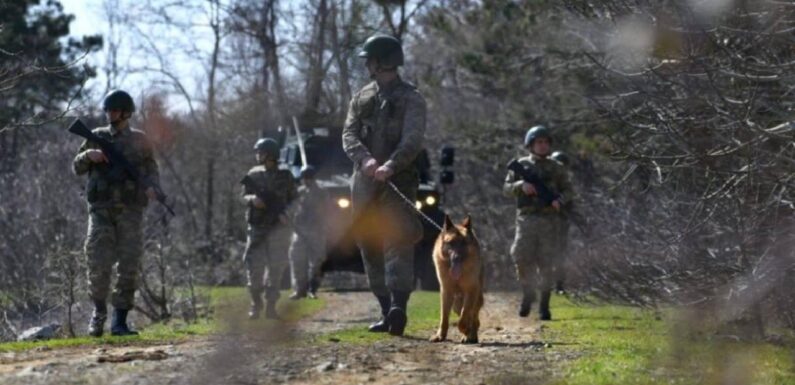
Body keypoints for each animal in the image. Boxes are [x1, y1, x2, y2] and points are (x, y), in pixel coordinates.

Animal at [430, 214, 486, 344]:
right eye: (451, 243)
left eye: (464, 243)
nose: (456, 257)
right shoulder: (446, 292)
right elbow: (444, 317)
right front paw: (440, 336)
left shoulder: (471, 290)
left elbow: (464, 316)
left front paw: (465, 329)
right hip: (456, 304)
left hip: (475, 299)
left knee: (474, 318)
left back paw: (470, 335)